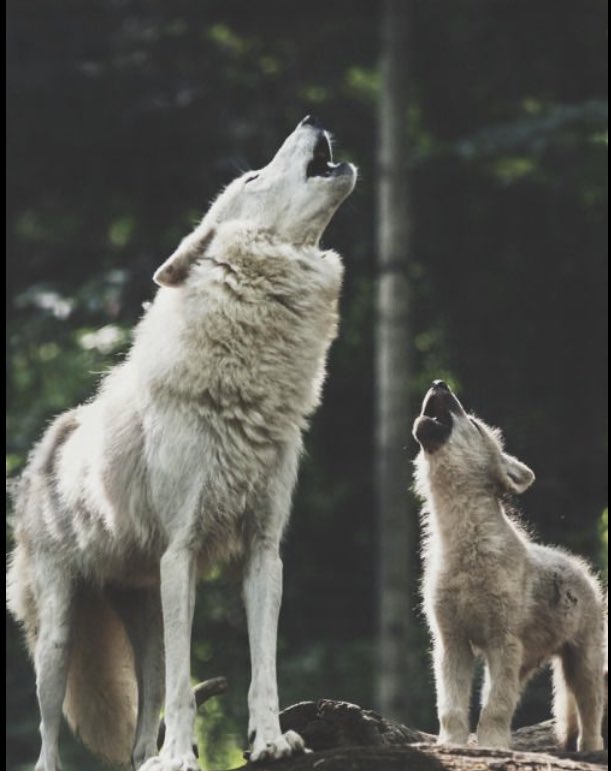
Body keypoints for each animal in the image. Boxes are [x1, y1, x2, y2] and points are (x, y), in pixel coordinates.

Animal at [7, 116, 357, 771]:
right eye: (251, 177)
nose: (310, 119)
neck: (247, 385)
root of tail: (48, 445)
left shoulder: (264, 553)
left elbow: (262, 669)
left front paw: (270, 741)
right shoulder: (183, 553)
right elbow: (184, 686)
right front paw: (183, 759)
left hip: (145, 614)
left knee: (143, 718)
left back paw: (150, 757)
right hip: (59, 637)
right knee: (48, 734)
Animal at [413, 380, 607, 751]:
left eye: (473, 424)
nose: (439, 383)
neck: (464, 545)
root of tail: (580, 567)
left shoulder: (502, 642)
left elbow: (495, 707)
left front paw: (492, 745)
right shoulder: (451, 642)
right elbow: (452, 707)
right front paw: (453, 744)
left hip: (581, 665)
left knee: (591, 712)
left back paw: (589, 749)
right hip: (526, 664)